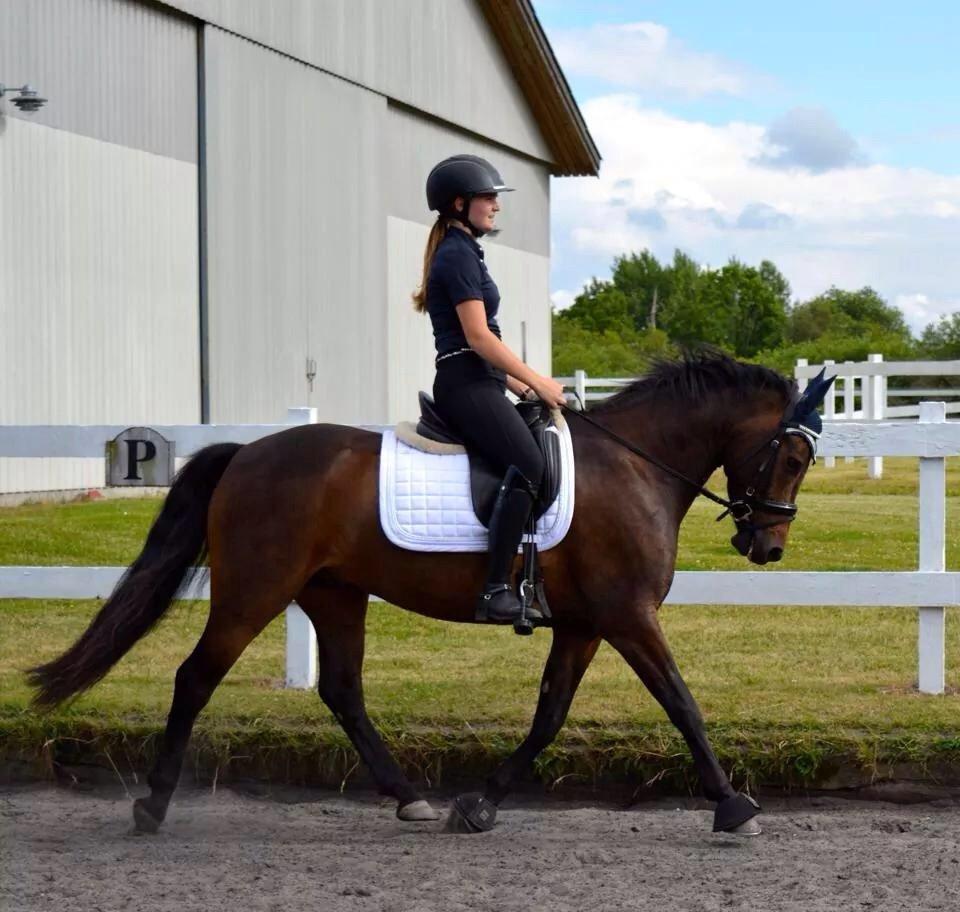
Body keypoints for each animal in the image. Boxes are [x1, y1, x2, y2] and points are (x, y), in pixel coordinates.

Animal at [28, 352, 832, 836]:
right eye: (793, 456)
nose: (769, 547)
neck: (636, 466)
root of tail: (246, 453)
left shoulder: (584, 624)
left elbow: (550, 716)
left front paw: (479, 803)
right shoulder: (627, 616)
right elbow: (682, 703)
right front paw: (734, 806)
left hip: (333, 594)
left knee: (343, 691)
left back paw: (409, 795)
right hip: (254, 591)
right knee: (196, 677)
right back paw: (152, 805)